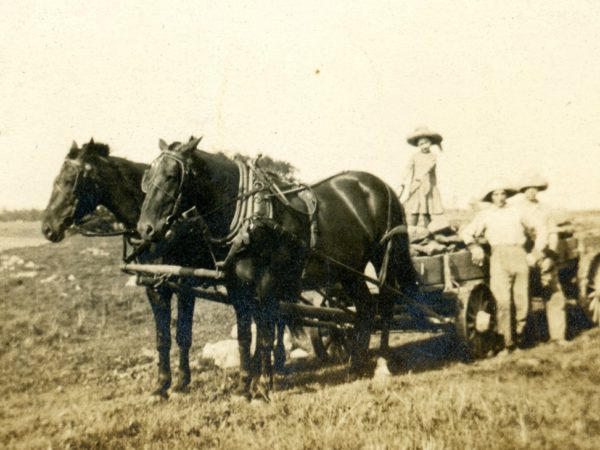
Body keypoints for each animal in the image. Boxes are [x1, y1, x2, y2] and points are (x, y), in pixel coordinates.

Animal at [41, 139, 218, 396]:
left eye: (68, 180)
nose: (47, 227)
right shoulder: (153, 285)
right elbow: (162, 338)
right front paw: (162, 384)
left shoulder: (185, 286)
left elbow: (182, 335)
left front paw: (182, 381)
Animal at [137, 137, 418, 398]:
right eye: (147, 178)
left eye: (172, 176)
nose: (145, 228)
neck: (249, 218)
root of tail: (383, 186)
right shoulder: (237, 288)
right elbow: (244, 336)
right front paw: (243, 386)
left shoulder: (267, 284)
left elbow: (264, 336)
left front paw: (262, 387)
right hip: (349, 269)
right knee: (365, 308)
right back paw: (355, 365)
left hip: (385, 255)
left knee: (386, 303)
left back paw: (381, 363)